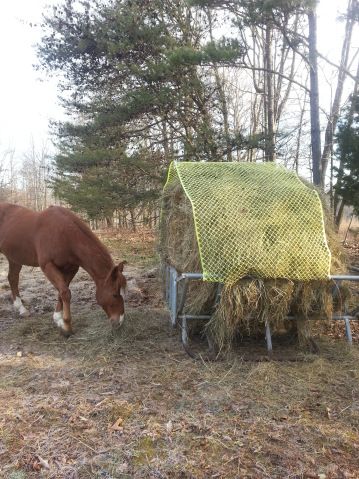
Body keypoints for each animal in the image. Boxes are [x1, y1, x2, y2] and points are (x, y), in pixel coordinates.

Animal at [0, 202, 128, 338]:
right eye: (114, 294)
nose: (120, 322)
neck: (64, 235)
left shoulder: (71, 268)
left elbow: (62, 291)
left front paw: (58, 318)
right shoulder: (48, 266)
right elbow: (65, 292)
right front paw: (66, 327)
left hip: (14, 258)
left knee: (13, 278)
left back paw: (21, 309)